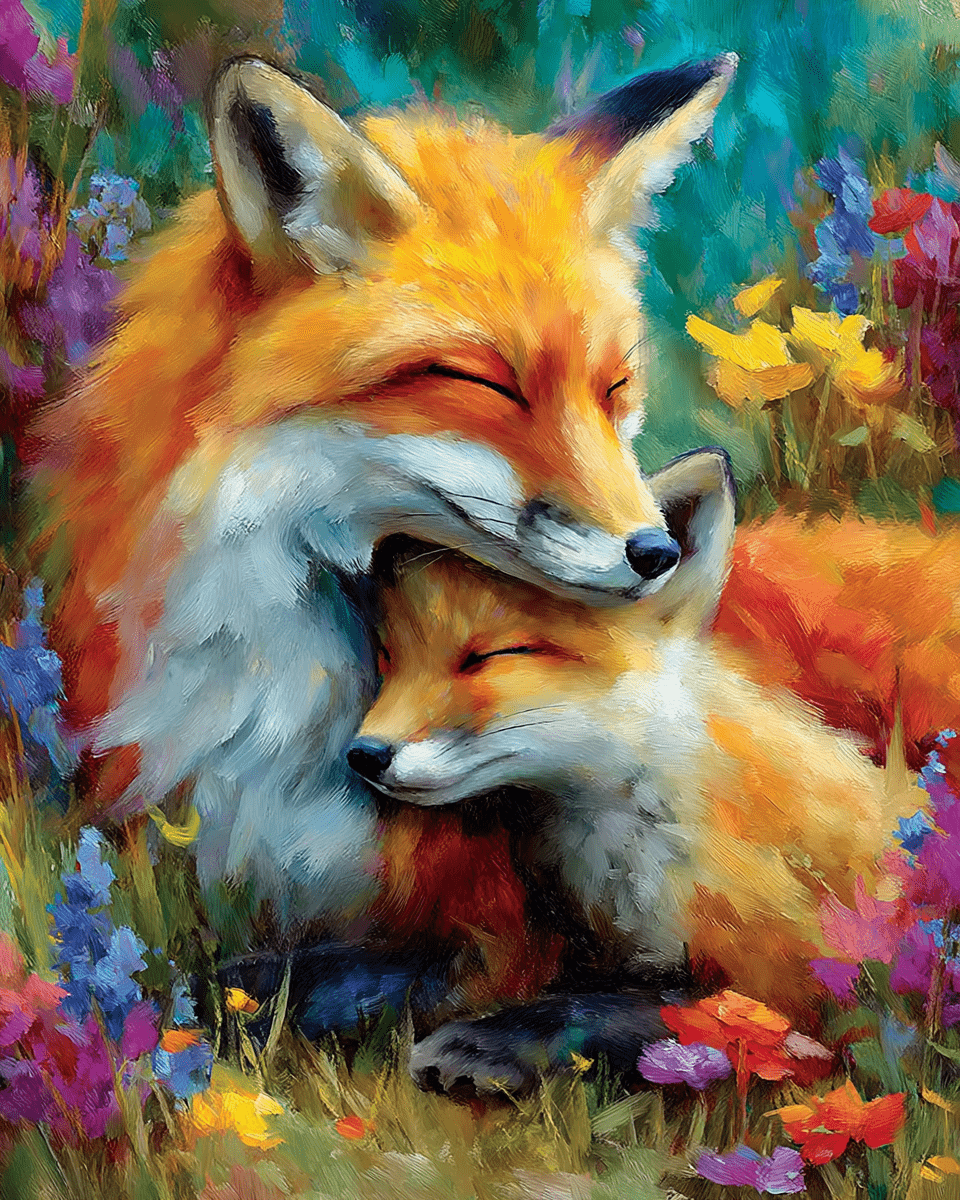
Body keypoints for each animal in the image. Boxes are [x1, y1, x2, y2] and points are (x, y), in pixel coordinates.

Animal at [344, 455, 930, 1097]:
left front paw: (485, 1044)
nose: (363, 754)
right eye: (390, 659)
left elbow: (608, 1009)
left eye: (490, 657)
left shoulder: (801, 985)